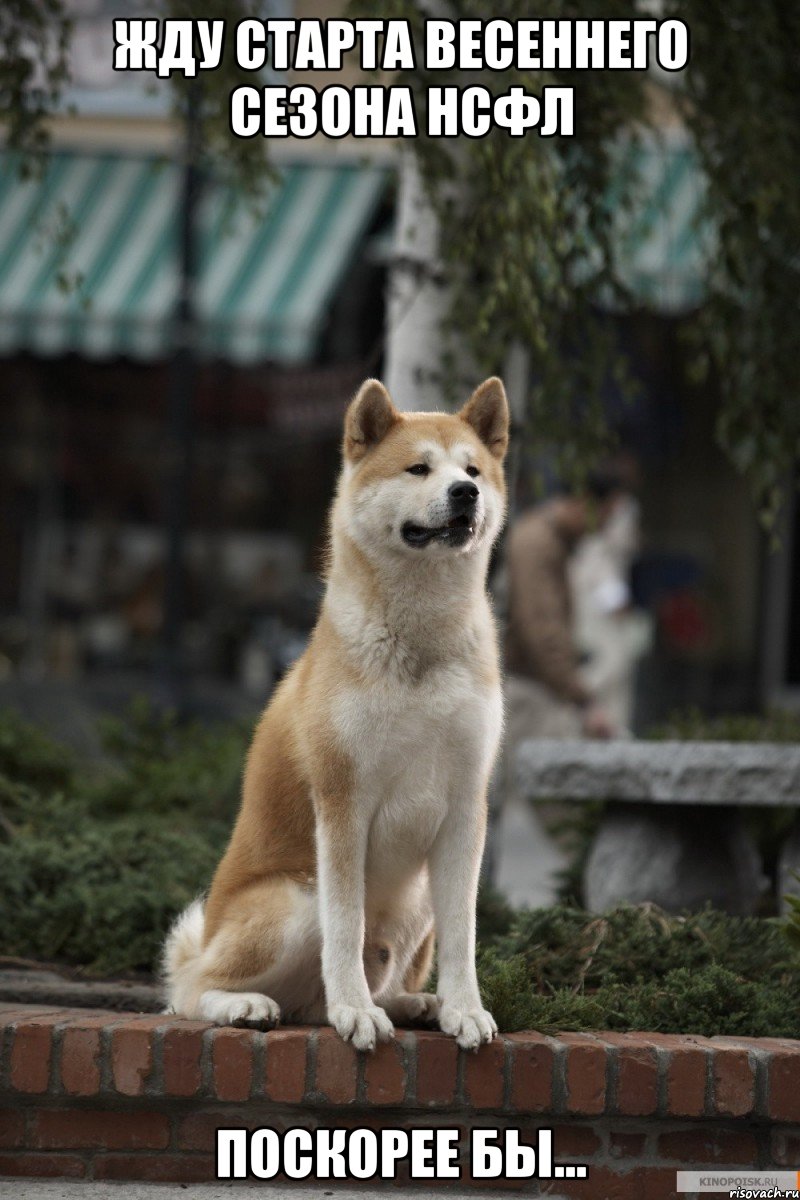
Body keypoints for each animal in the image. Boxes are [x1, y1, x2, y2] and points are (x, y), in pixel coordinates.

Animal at [165, 374, 510, 1051]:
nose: (465, 493)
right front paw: (355, 1011)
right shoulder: (343, 801)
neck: (420, 643)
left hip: (417, 900)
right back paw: (250, 1005)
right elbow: (346, 928)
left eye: (473, 470)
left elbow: (464, 935)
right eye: (418, 468)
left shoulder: (466, 806)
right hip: (295, 900)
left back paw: (415, 1003)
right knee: (189, 990)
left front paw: (464, 1009)